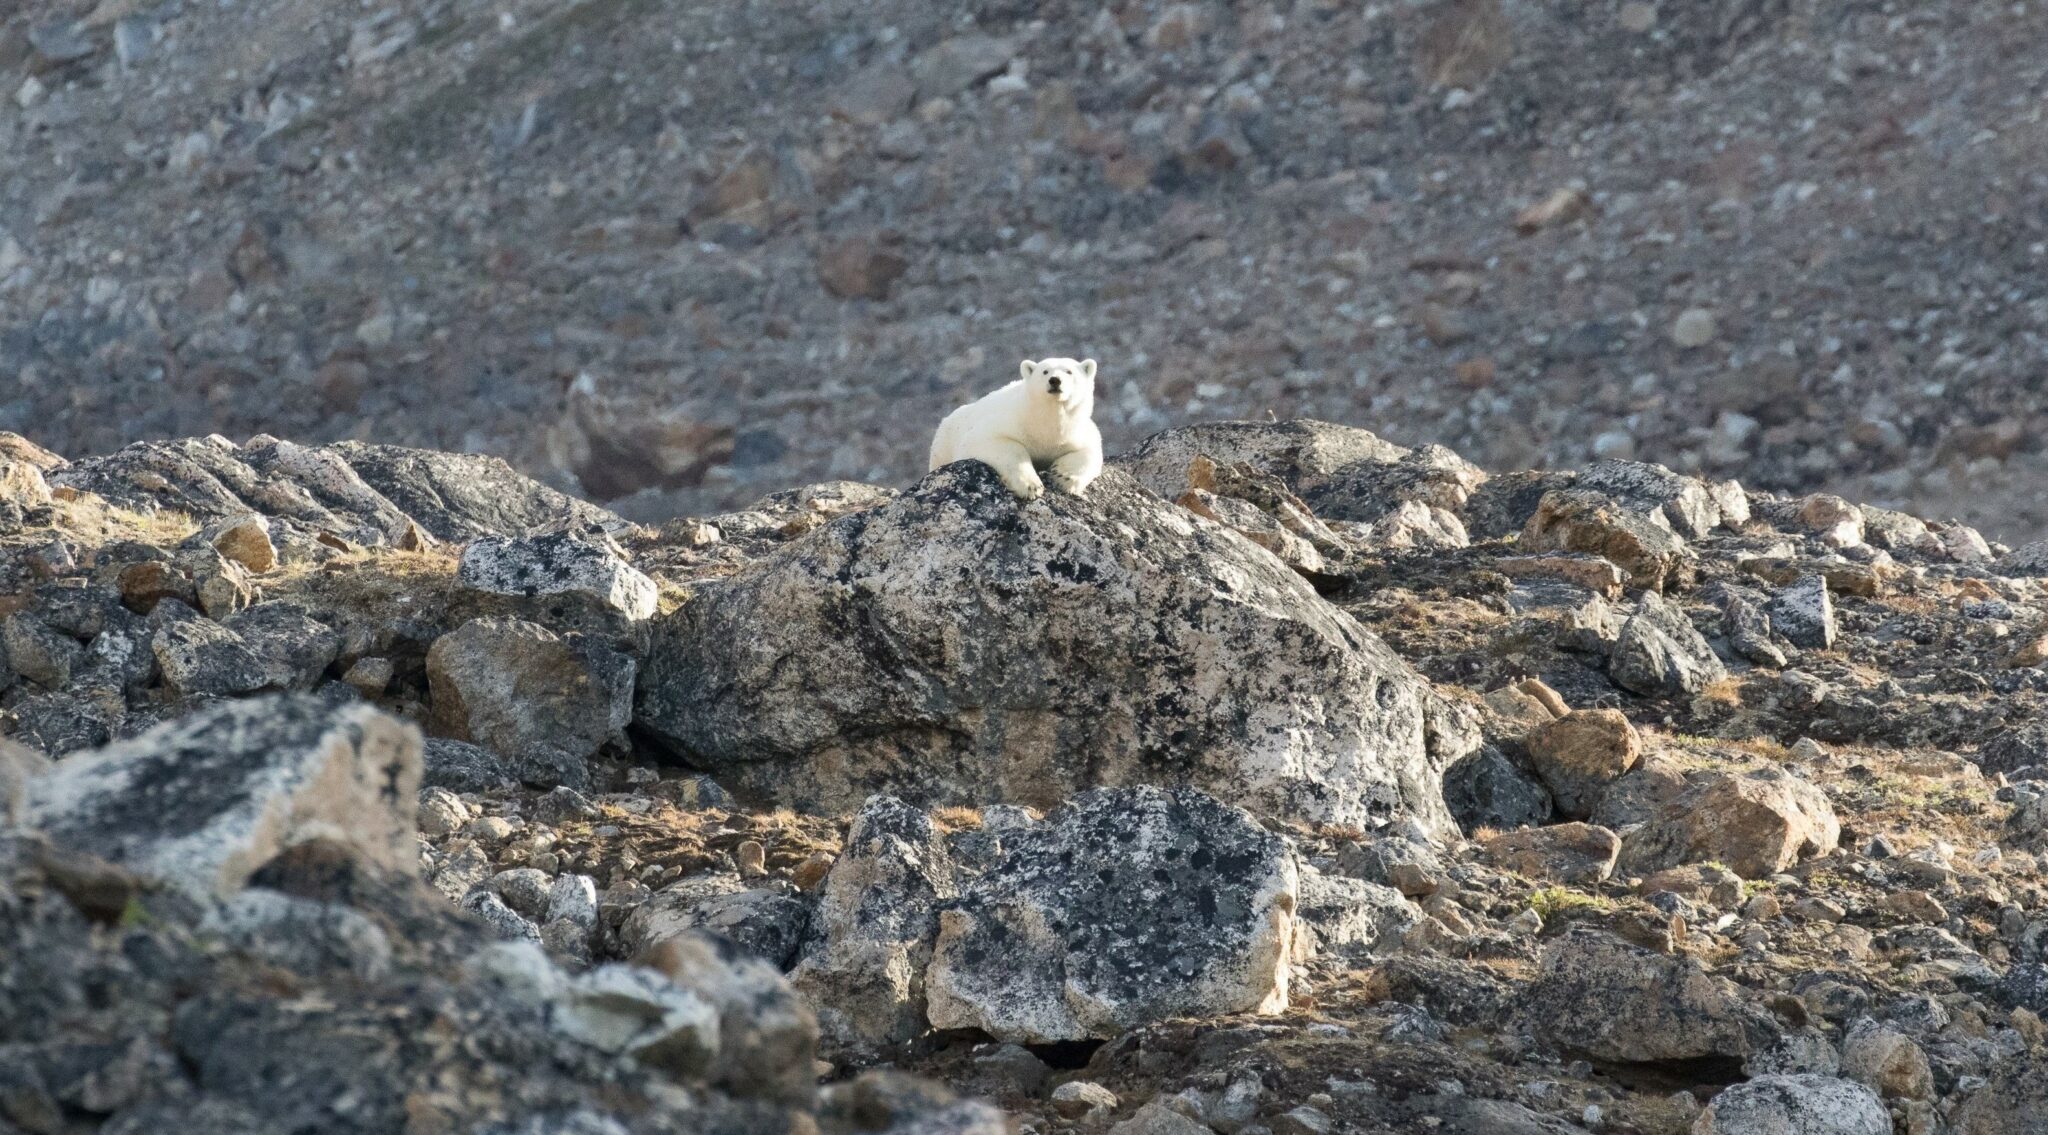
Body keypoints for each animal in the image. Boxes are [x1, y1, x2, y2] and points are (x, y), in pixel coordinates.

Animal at [929, 352, 1105, 495]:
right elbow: (996, 442)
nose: (1055, 380)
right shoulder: (1007, 421)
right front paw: (1031, 486)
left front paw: (1063, 477)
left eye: (1069, 371)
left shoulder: (1076, 431)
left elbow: (1091, 452)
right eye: (1045, 371)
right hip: (944, 443)